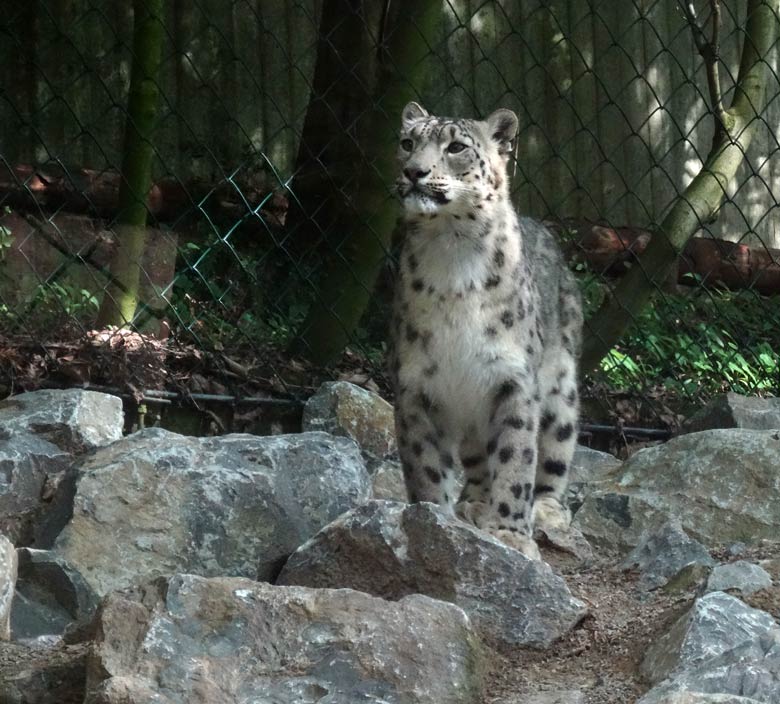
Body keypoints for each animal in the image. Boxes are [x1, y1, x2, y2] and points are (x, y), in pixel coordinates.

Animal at [386, 100, 580, 560]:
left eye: (456, 147)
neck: (450, 249)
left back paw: (547, 511)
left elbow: (516, 458)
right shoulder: (415, 385)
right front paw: (432, 519)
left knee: (556, 445)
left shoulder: (514, 381)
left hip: (562, 384)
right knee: (475, 457)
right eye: (407, 142)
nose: (413, 172)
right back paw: (473, 503)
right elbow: (424, 464)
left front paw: (511, 533)